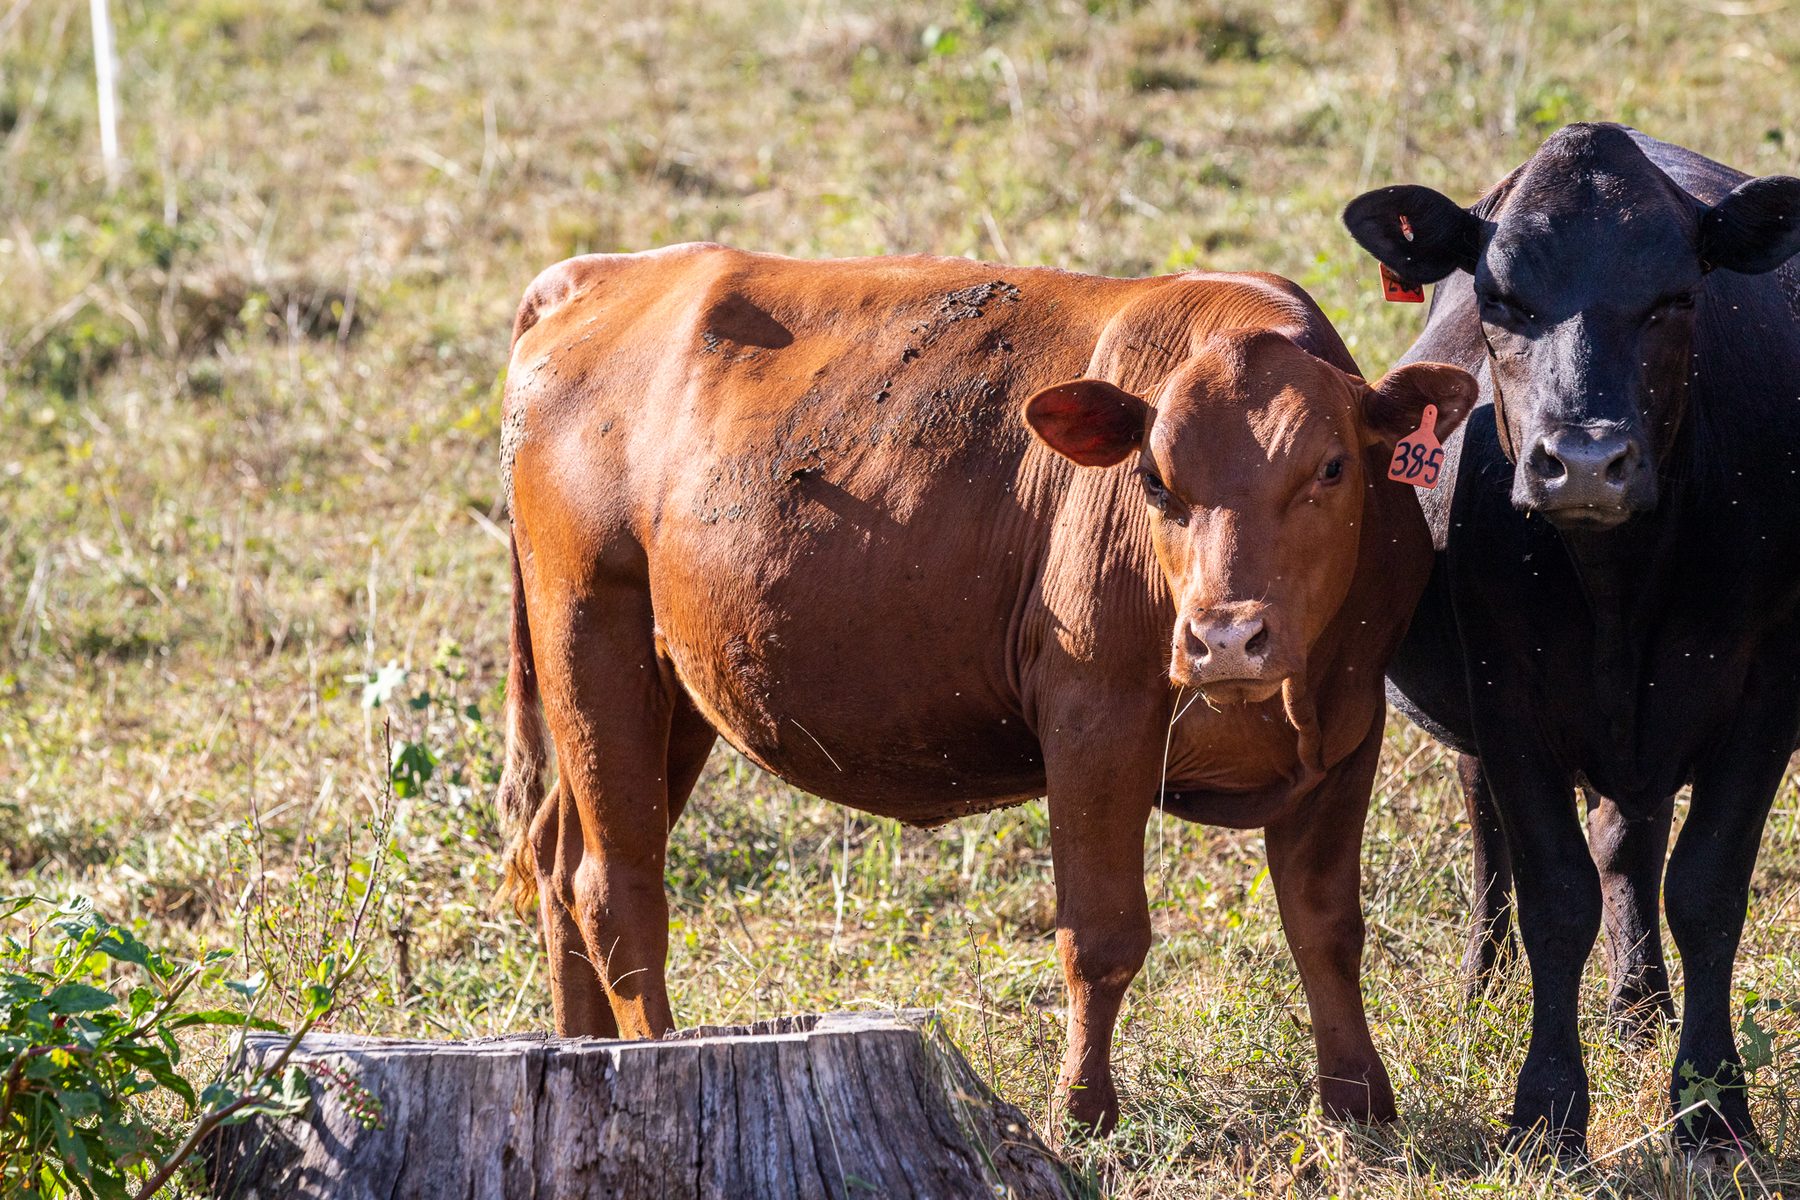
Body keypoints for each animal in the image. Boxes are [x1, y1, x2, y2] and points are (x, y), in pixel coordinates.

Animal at [494, 243, 1475, 1131]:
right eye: (1155, 480)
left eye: (1332, 468)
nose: (1224, 637)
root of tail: (601, 274)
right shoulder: (1095, 721)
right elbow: (1102, 935)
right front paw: (1083, 1111)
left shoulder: (1347, 733)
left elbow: (1327, 927)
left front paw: (1360, 1102)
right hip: (591, 634)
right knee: (614, 888)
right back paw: (648, 1056)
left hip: (672, 689)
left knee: (555, 859)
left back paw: (579, 1051)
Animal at [1344, 123, 1800, 1157]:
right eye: (1501, 297)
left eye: (1677, 296)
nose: (1586, 461)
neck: (1617, 590)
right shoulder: (1509, 697)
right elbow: (1557, 893)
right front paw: (1547, 1110)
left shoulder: (1767, 696)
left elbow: (1706, 889)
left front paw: (1714, 1109)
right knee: (1494, 836)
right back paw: (1485, 989)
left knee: (1630, 840)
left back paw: (1640, 1006)